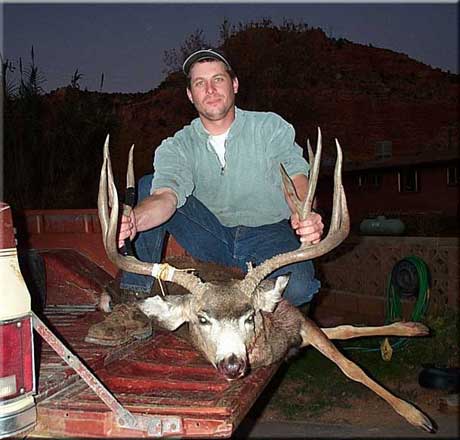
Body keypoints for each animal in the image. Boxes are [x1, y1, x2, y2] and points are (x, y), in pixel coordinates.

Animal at [98, 131, 434, 434]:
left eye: (250, 316)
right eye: (202, 320)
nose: (232, 364)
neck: (272, 344)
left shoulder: (297, 318)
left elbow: (350, 361)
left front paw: (417, 414)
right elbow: (344, 346)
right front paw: (417, 413)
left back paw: (416, 327)